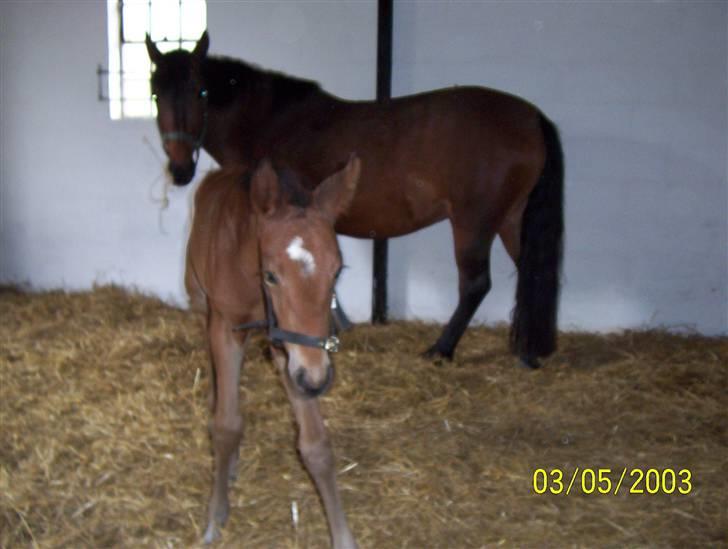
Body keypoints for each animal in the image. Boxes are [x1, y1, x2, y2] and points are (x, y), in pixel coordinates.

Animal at [146, 33, 564, 368]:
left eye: (201, 91)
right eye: (155, 93)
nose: (180, 169)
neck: (270, 123)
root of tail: (532, 118)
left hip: (473, 223)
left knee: (475, 284)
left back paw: (441, 350)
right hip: (511, 219)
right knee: (530, 274)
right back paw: (528, 352)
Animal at [185, 154, 362, 544]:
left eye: (337, 272)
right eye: (271, 275)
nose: (316, 379)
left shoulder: (291, 347)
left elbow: (316, 445)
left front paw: (343, 537)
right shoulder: (225, 327)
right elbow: (226, 425)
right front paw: (214, 518)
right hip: (200, 303)